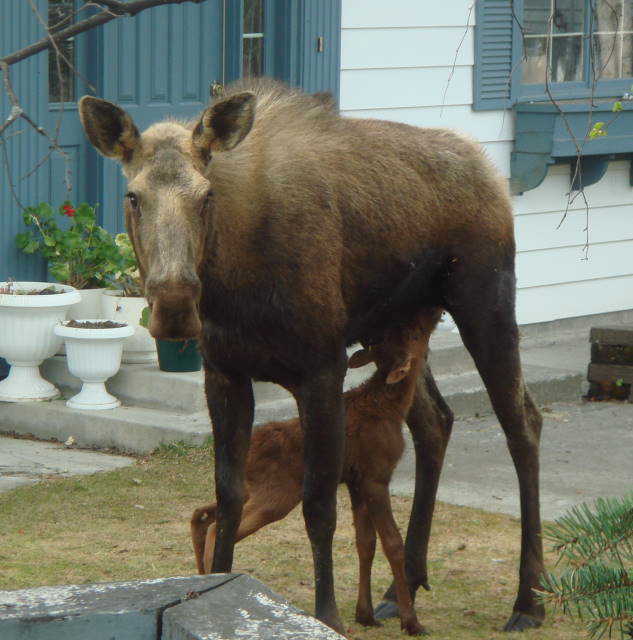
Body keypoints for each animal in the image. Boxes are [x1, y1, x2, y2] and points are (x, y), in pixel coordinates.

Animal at [191, 308, 440, 636]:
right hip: (278, 494)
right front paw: (411, 621)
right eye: (412, 334)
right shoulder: (375, 474)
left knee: (202, 513)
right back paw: (212, 575)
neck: (391, 408)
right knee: (215, 523)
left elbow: (365, 544)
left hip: (257, 488)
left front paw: (365, 614)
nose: (432, 315)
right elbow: (392, 544)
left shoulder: (355, 481)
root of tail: (252, 449)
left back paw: (200, 572)